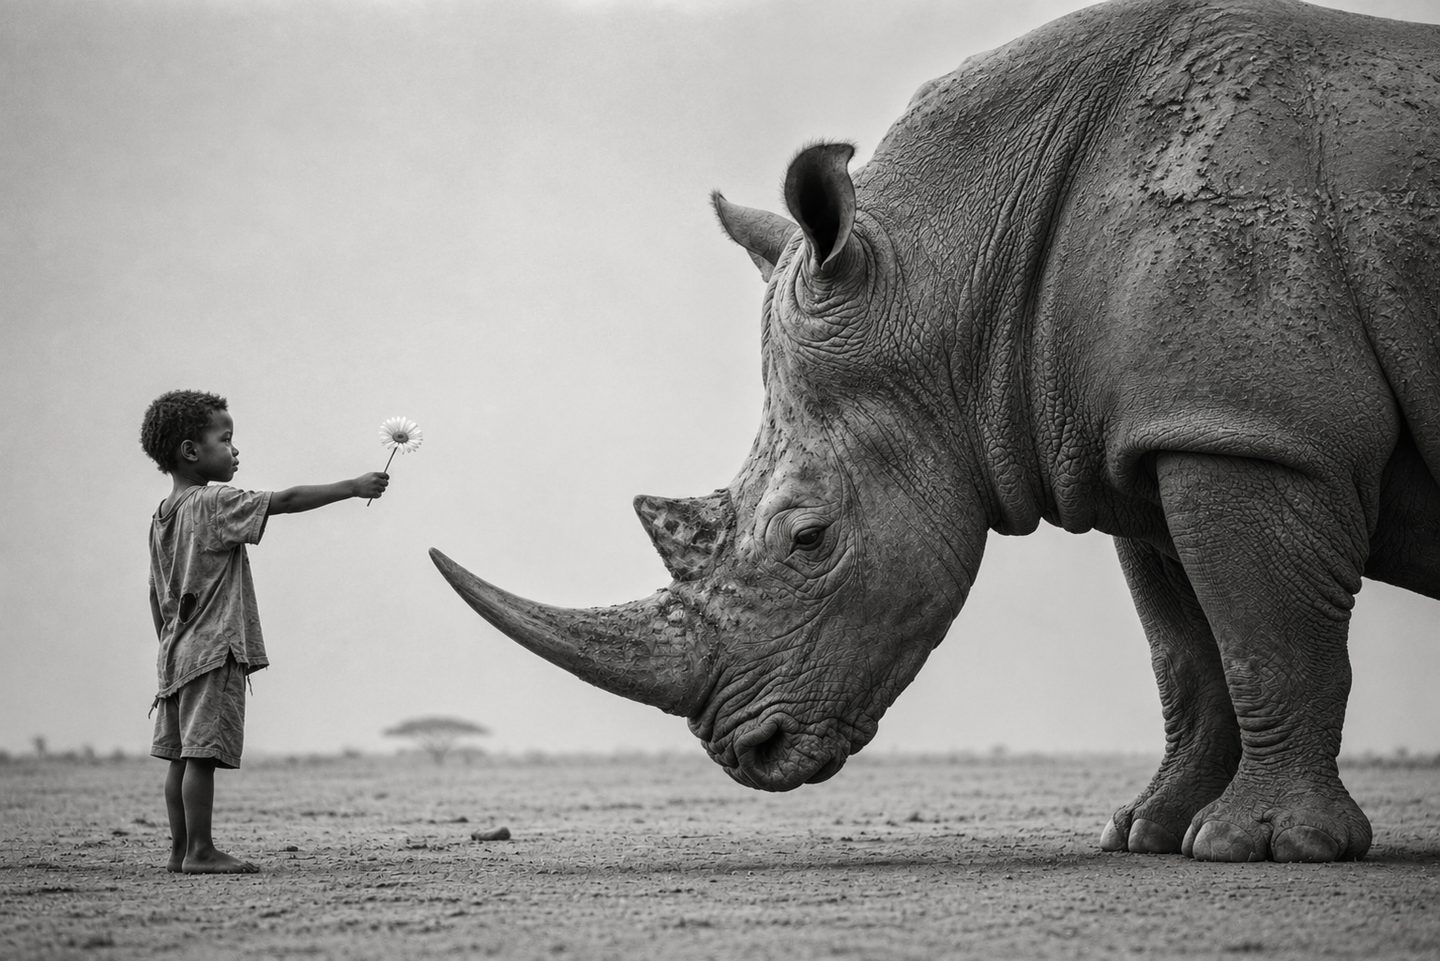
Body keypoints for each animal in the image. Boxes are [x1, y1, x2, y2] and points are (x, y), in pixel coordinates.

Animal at [431, 0, 1440, 863]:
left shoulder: (1255, 429)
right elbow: (1186, 650)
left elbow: (1267, 633)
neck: (955, 277)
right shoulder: (1170, 432)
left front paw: (1262, 846)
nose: (747, 751)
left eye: (808, 538)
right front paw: (1146, 833)